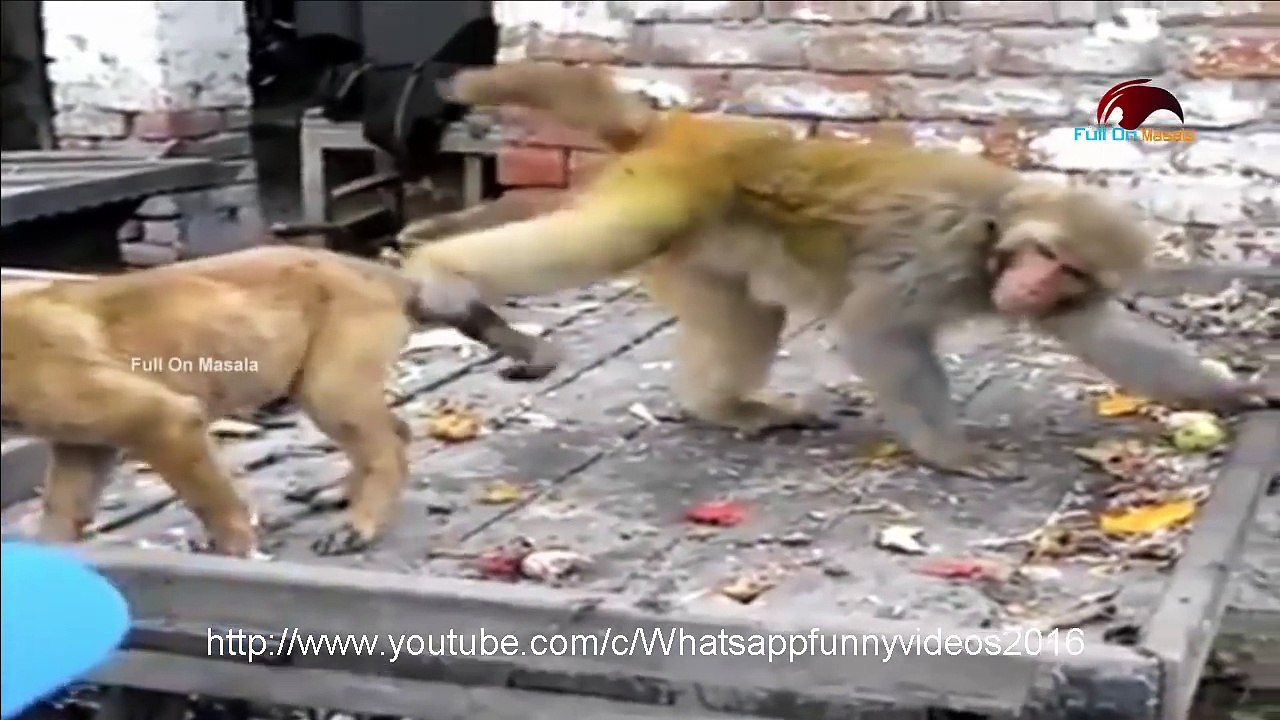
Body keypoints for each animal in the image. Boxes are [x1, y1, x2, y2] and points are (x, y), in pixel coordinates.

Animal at [0, 245, 561, 558]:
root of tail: (385, 274)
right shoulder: (83, 446)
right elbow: (59, 514)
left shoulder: (163, 420)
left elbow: (215, 505)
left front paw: (235, 551)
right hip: (318, 386)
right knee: (390, 434)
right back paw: (342, 494)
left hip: (328, 388)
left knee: (390, 448)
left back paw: (358, 525)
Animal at [394, 61, 1276, 479]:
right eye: (1043, 256)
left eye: (1065, 272)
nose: (1029, 287)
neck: (994, 236)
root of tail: (680, 127)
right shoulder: (935, 252)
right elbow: (876, 330)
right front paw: (950, 452)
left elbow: (1111, 340)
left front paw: (1237, 392)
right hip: (677, 185)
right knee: (615, 238)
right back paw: (444, 276)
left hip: (706, 241)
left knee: (748, 314)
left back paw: (724, 407)